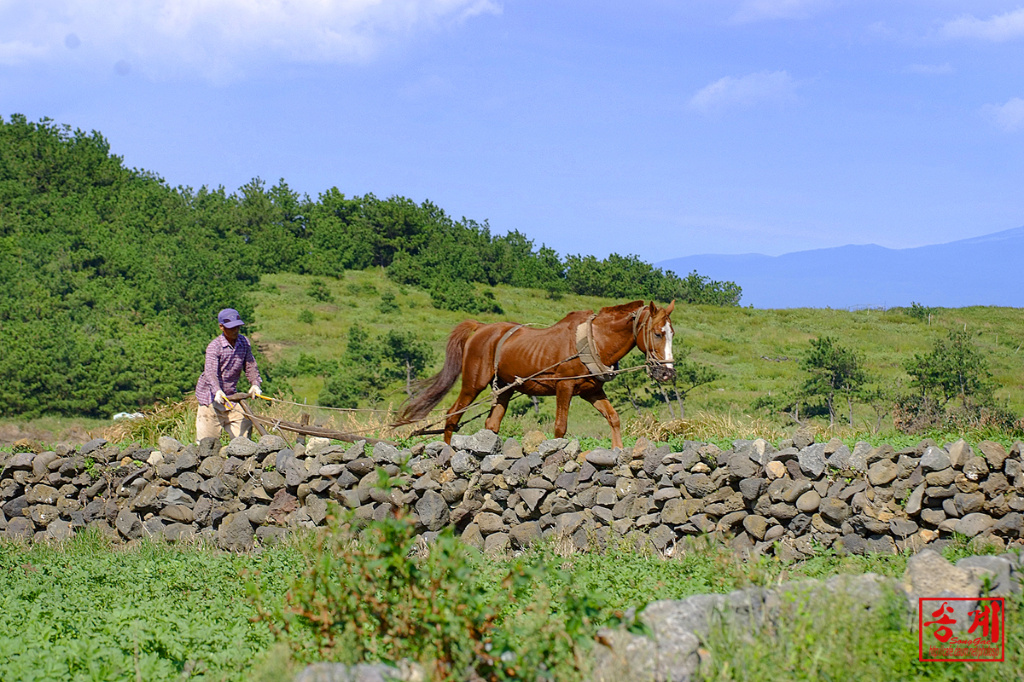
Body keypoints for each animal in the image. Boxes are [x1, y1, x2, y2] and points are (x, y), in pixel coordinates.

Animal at [401, 301, 679, 448]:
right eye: (657, 333)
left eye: (672, 333)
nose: (667, 373)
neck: (591, 340)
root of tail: (481, 328)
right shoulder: (564, 388)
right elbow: (560, 428)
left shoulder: (592, 391)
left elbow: (614, 418)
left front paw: (618, 450)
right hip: (473, 384)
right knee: (452, 415)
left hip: (505, 388)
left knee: (491, 424)